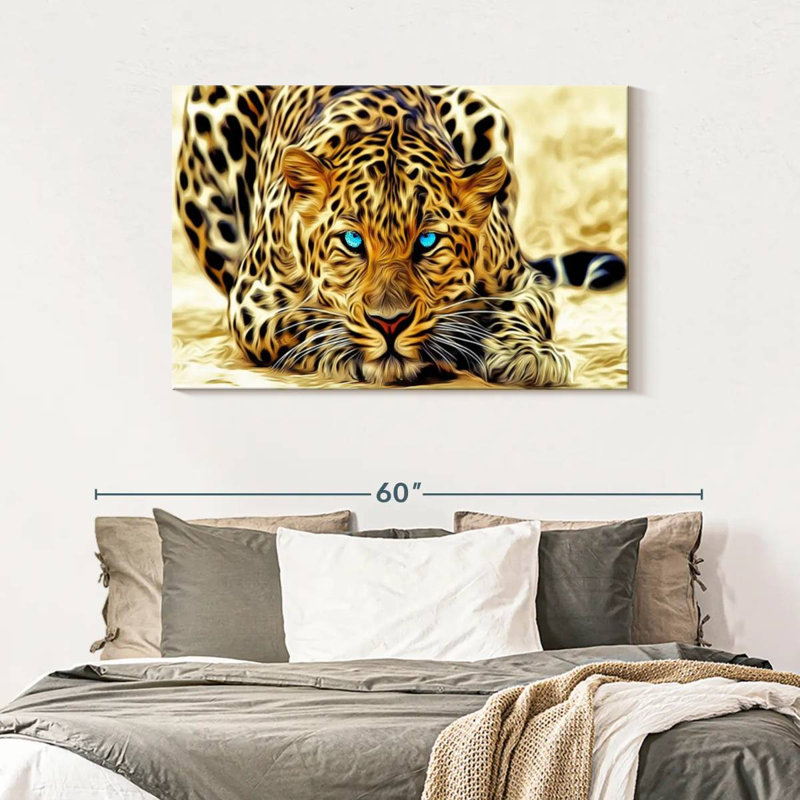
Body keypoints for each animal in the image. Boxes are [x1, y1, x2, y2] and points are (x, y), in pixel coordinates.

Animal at [175, 85, 625, 387]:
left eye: (427, 242)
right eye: (352, 242)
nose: (389, 324)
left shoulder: (523, 281)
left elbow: (519, 310)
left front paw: (527, 353)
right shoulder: (253, 300)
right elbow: (305, 319)